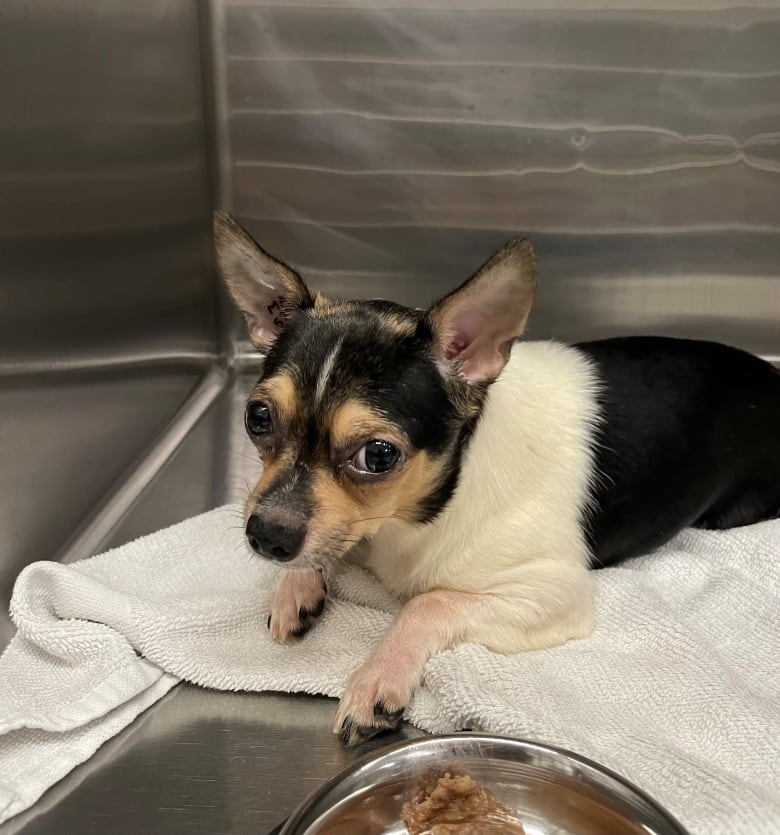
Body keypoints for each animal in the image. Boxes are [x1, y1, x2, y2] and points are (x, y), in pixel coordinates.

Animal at [212, 212, 780, 748]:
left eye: (378, 455)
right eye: (257, 418)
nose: (266, 537)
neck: (424, 507)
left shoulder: (551, 593)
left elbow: (428, 602)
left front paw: (378, 677)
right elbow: (330, 540)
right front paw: (297, 588)